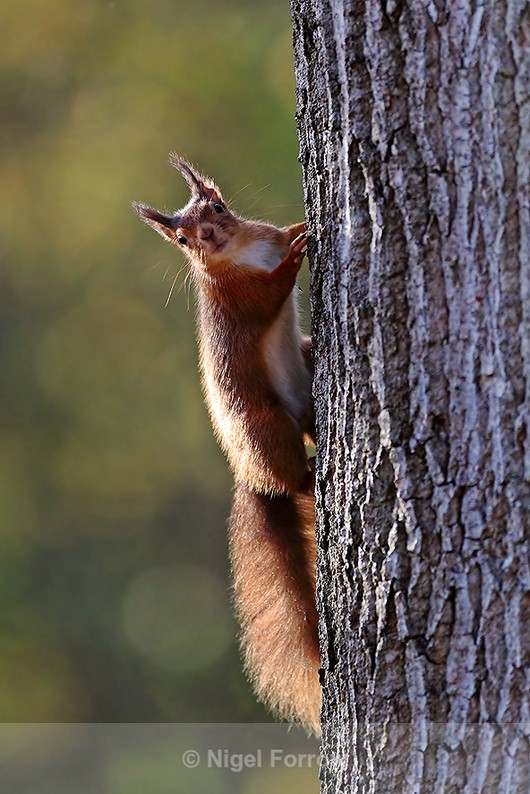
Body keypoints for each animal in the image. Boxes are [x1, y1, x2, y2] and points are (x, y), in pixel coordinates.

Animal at [133, 155, 321, 733]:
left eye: (217, 207)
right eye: (181, 239)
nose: (209, 237)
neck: (240, 252)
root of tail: (249, 474)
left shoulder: (262, 235)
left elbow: (280, 233)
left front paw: (299, 229)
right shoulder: (240, 297)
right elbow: (270, 294)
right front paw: (296, 257)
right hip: (267, 427)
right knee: (293, 477)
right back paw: (310, 475)